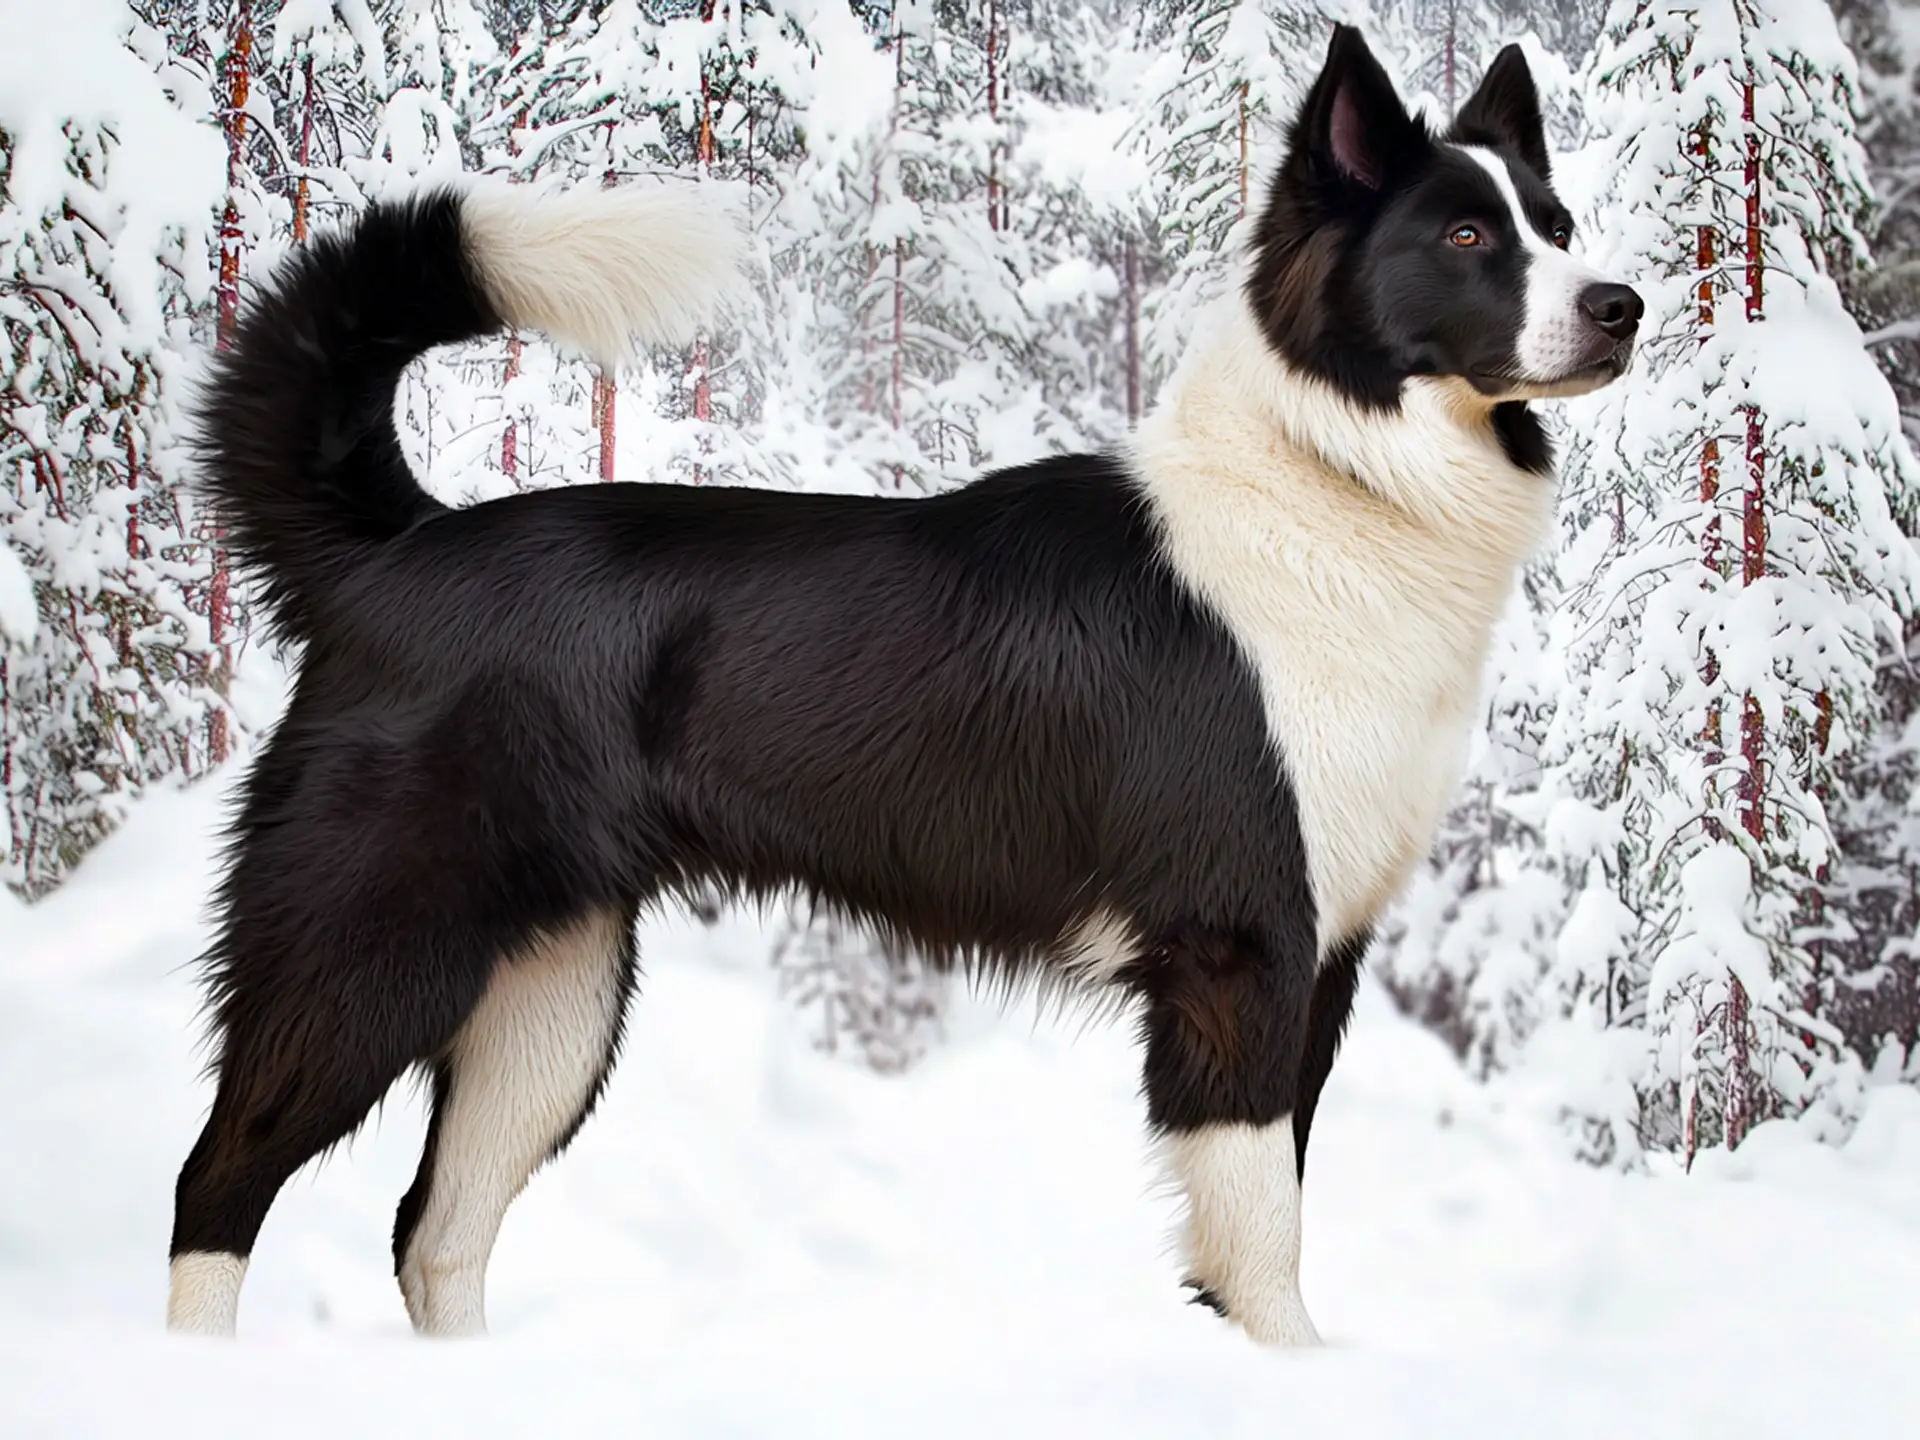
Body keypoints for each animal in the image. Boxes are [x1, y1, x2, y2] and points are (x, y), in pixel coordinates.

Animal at [165, 28, 1643, 1351]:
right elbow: (1264, 1242)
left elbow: (1263, 1222)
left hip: (551, 993)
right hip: (371, 947)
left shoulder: (1320, 966)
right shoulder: (1241, 951)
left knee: (436, 1229)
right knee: (217, 1182)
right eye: (1467, 237)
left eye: (1560, 225)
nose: (1623, 304)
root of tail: (399, 545)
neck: (1335, 476)